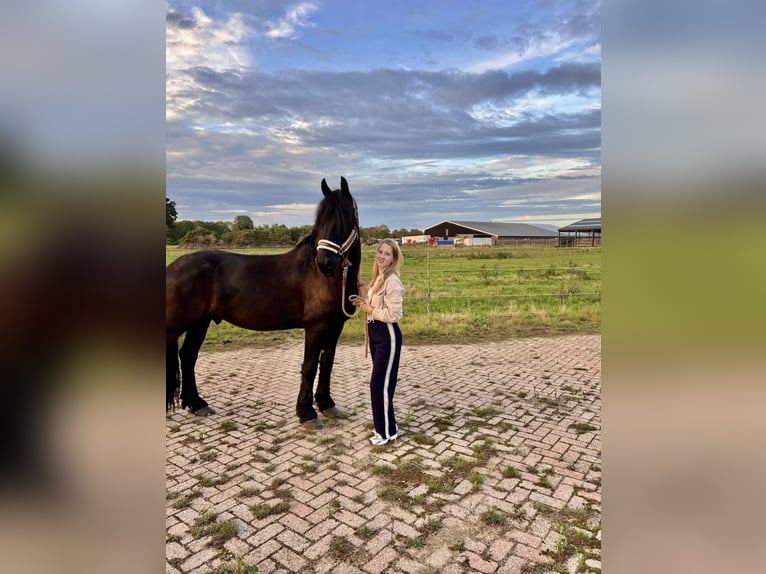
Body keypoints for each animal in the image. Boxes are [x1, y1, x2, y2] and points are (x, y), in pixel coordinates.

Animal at [166, 177, 361, 429]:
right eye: (320, 220)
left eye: (345, 218)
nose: (324, 263)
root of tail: (172, 267)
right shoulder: (315, 326)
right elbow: (309, 366)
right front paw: (307, 413)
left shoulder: (336, 326)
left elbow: (327, 363)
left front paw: (326, 404)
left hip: (200, 323)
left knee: (188, 356)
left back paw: (198, 404)